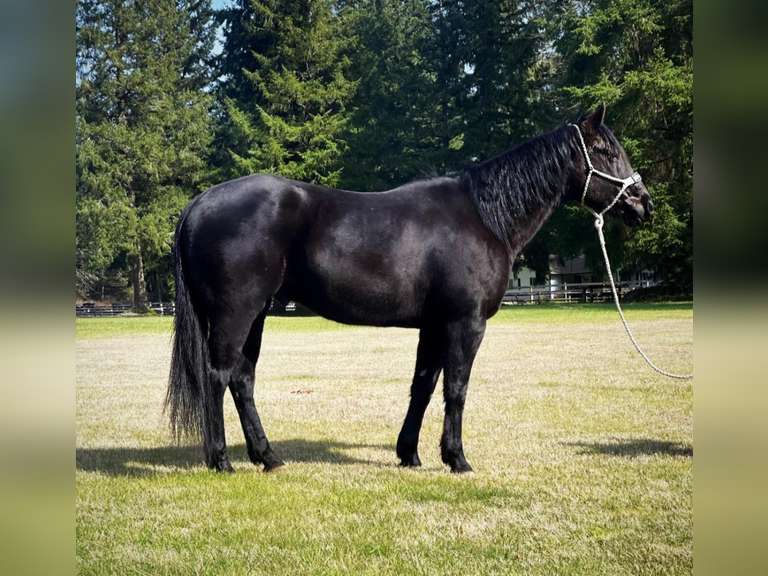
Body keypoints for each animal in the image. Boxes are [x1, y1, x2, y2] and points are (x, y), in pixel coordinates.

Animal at [165, 105, 653, 474]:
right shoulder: (465, 323)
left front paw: (410, 454)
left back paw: (267, 457)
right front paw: (457, 459)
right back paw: (221, 461)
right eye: (606, 151)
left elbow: (423, 385)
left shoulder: (434, 325)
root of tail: (198, 204)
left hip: (257, 315)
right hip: (235, 314)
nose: (643, 203)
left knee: (242, 380)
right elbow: (455, 389)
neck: (484, 217)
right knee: (218, 376)